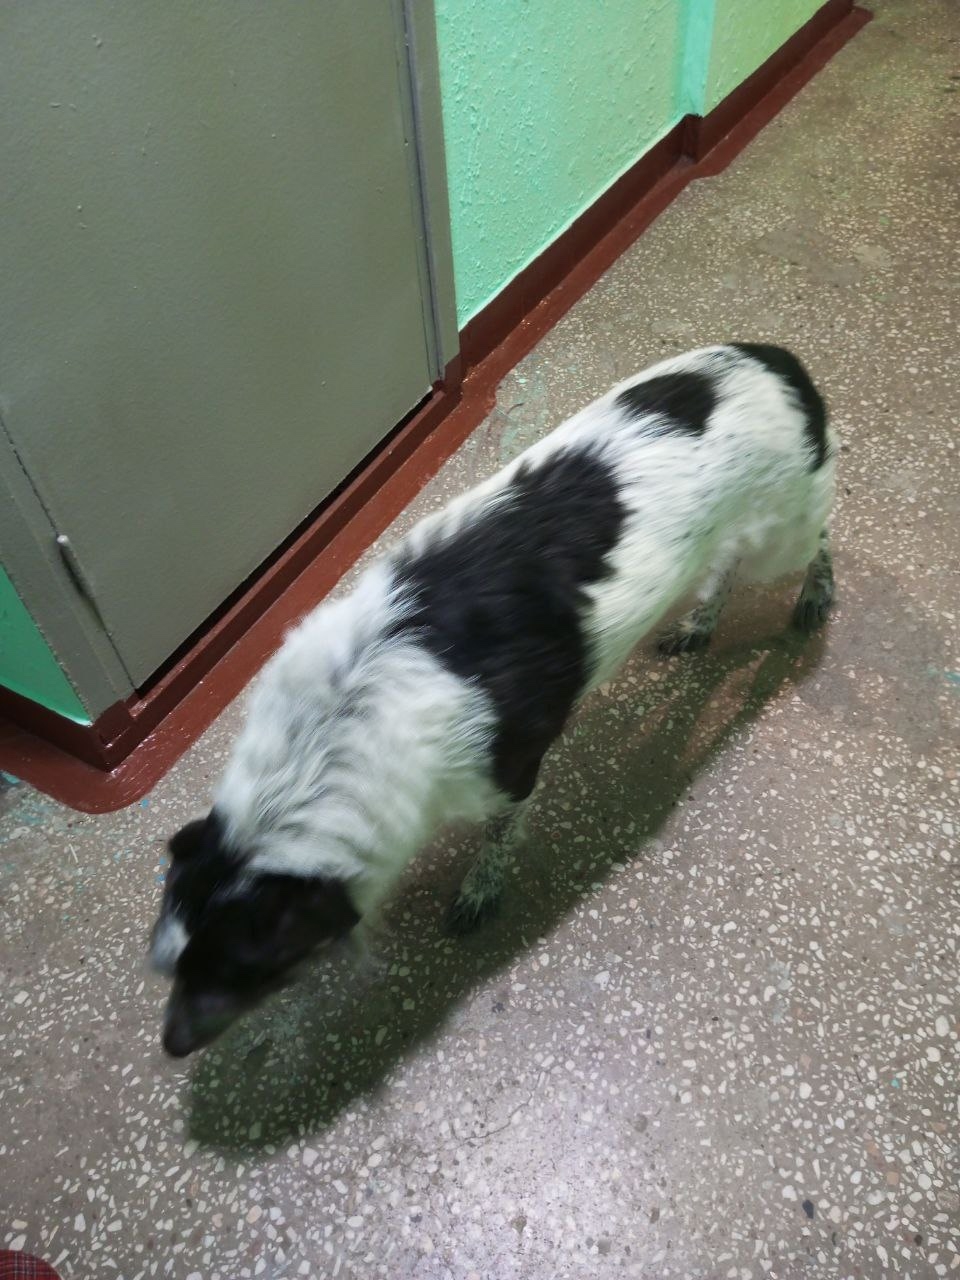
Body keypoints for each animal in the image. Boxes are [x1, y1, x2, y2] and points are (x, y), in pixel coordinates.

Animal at [149, 343, 837, 1056]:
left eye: (247, 969)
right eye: (171, 967)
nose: (171, 1046)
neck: (332, 726)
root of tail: (778, 359)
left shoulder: (508, 770)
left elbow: (498, 838)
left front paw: (480, 892)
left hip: (783, 528)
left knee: (819, 540)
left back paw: (813, 599)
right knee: (725, 566)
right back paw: (700, 624)